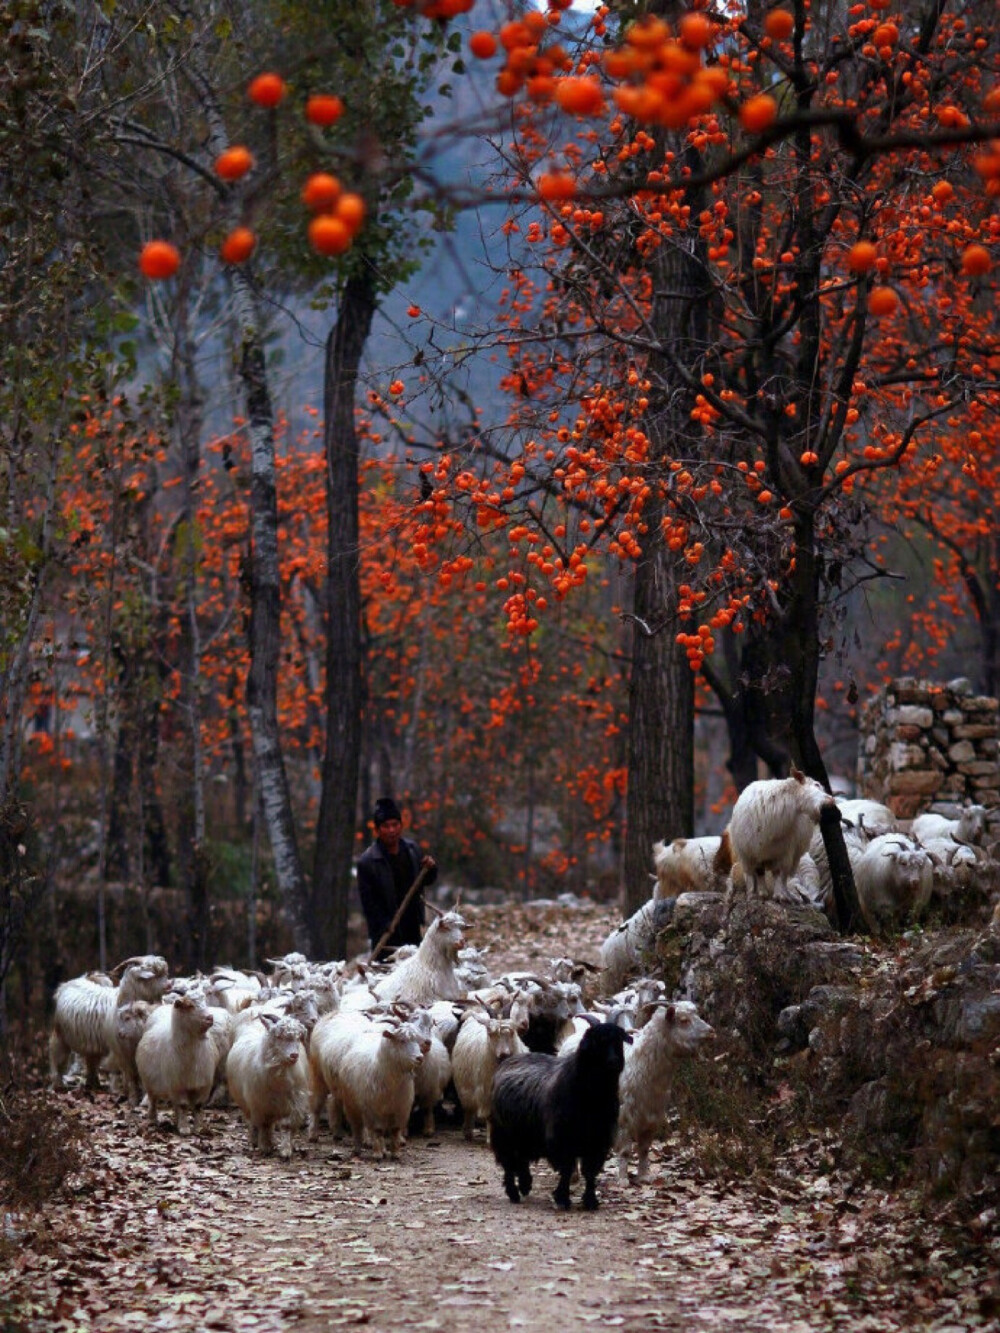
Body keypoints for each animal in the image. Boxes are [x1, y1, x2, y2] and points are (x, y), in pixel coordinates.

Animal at [226, 1013, 309, 1151]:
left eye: (298, 1038)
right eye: (279, 1036)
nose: (294, 1055)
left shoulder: (294, 1102)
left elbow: (286, 1125)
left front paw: (285, 1150)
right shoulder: (260, 1104)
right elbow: (264, 1125)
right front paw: (265, 1146)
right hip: (247, 1103)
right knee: (253, 1122)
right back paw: (255, 1140)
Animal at [490, 1018, 629, 1210]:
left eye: (618, 1041)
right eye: (597, 1042)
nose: (614, 1061)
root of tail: (511, 1060)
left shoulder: (598, 1140)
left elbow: (590, 1172)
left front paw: (590, 1200)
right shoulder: (562, 1139)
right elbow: (567, 1169)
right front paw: (562, 1198)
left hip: (524, 1134)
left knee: (522, 1160)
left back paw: (525, 1184)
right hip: (504, 1134)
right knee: (509, 1164)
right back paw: (514, 1192)